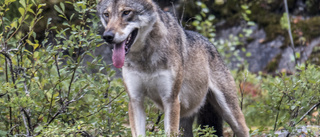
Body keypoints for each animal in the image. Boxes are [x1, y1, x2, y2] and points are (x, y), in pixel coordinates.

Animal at [96, 0, 249, 136]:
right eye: (106, 14)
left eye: (126, 12)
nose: (107, 36)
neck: (145, 58)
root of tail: (211, 44)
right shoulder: (135, 100)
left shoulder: (170, 100)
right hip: (185, 121)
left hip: (231, 115)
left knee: (245, 129)